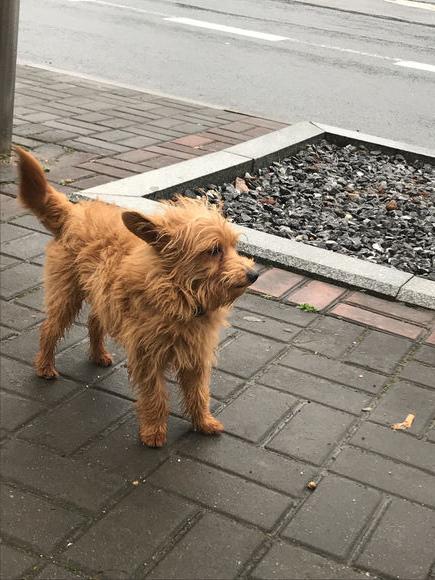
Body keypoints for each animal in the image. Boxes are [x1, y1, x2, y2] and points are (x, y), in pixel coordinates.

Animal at [15, 147, 258, 446]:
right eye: (214, 250)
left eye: (234, 247)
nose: (253, 274)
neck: (180, 295)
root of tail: (73, 213)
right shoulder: (147, 358)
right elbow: (155, 396)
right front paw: (153, 431)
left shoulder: (196, 358)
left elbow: (199, 393)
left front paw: (203, 422)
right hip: (66, 296)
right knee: (49, 329)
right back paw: (45, 366)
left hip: (102, 298)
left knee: (94, 322)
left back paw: (98, 354)